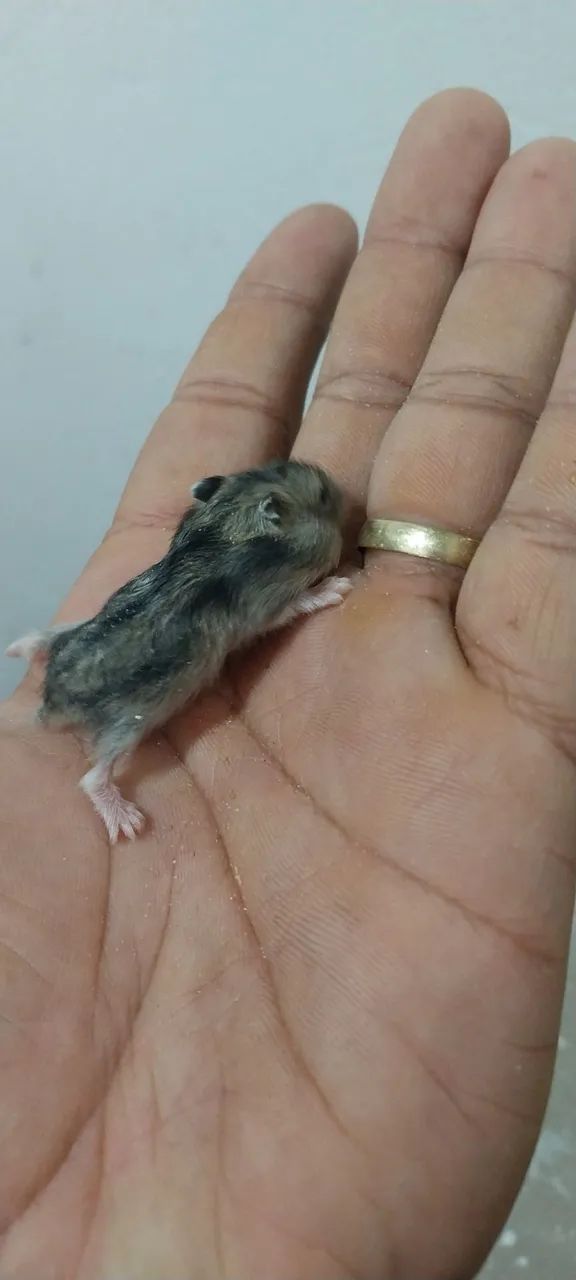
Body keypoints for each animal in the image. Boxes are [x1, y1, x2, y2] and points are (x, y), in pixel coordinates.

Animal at [7, 460, 351, 843]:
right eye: (323, 495)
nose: (344, 494)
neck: (225, 522)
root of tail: (49, 703)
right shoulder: (266, 607)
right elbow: (298, 603)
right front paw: (338, 588)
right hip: (128, 723)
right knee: (93, 777)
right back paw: (128, 822)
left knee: (47, 639)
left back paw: (19, 648)